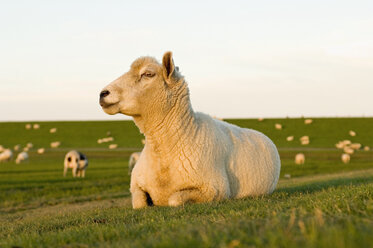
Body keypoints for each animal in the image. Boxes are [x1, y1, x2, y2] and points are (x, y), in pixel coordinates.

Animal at [98, 51, 280, 208]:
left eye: (148, 74)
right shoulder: (136, 185)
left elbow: (174, 199)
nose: (102, 93)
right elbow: (139, 204)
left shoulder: (215, 189)